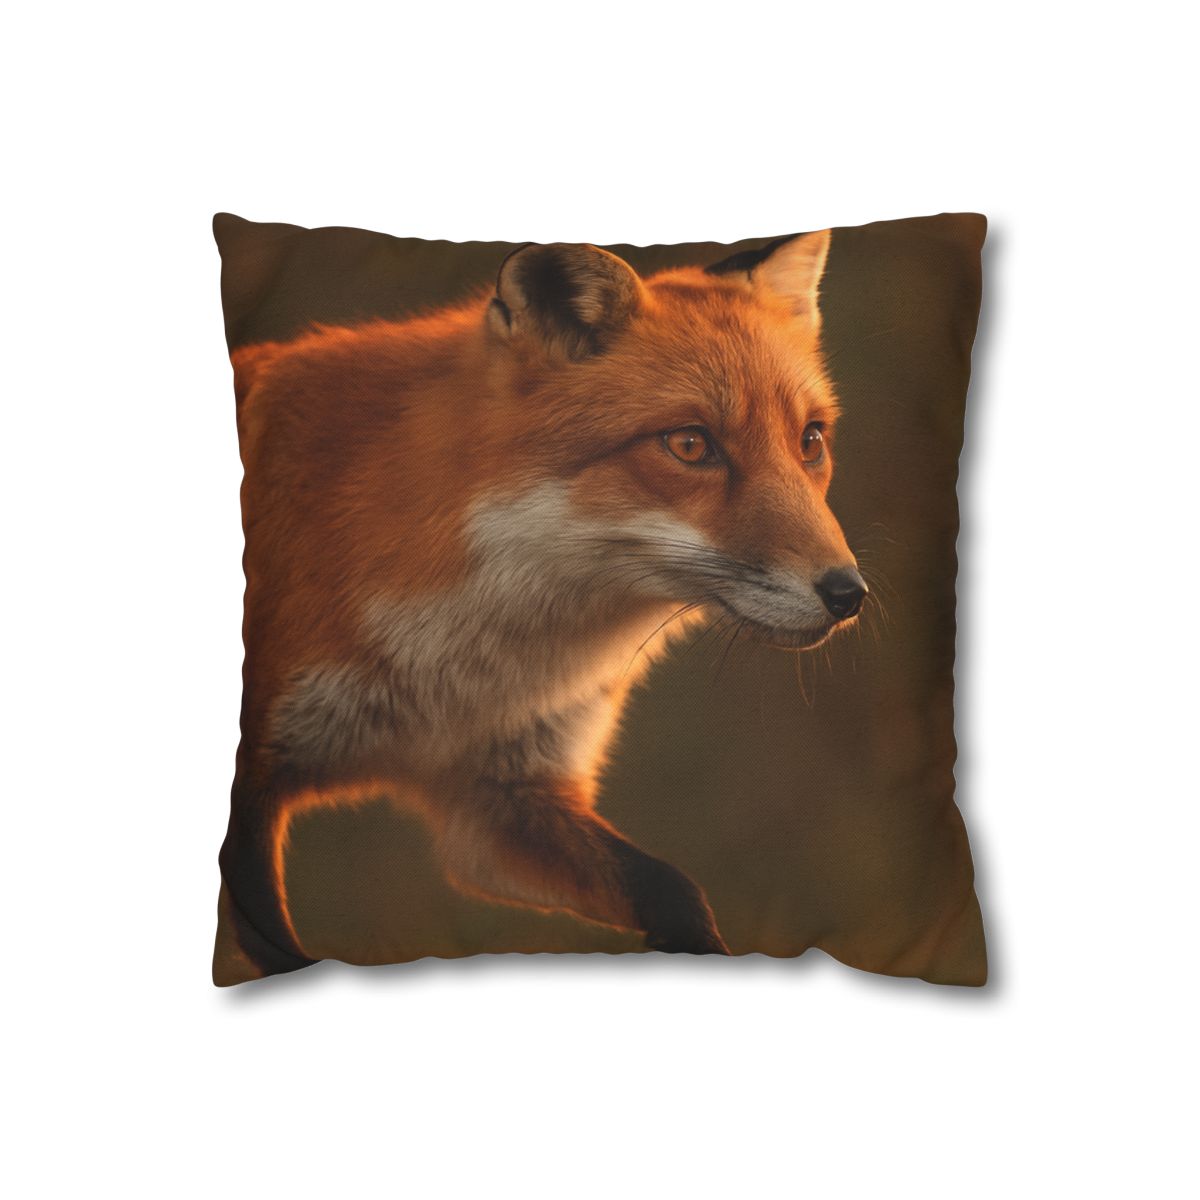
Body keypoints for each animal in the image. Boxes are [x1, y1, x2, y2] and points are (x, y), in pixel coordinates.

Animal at [219, 229, 868, 979]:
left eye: (810, 441)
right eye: (689, 444)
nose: (849, 594)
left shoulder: (501, 801)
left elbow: (671, 890)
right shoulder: (253, 786)